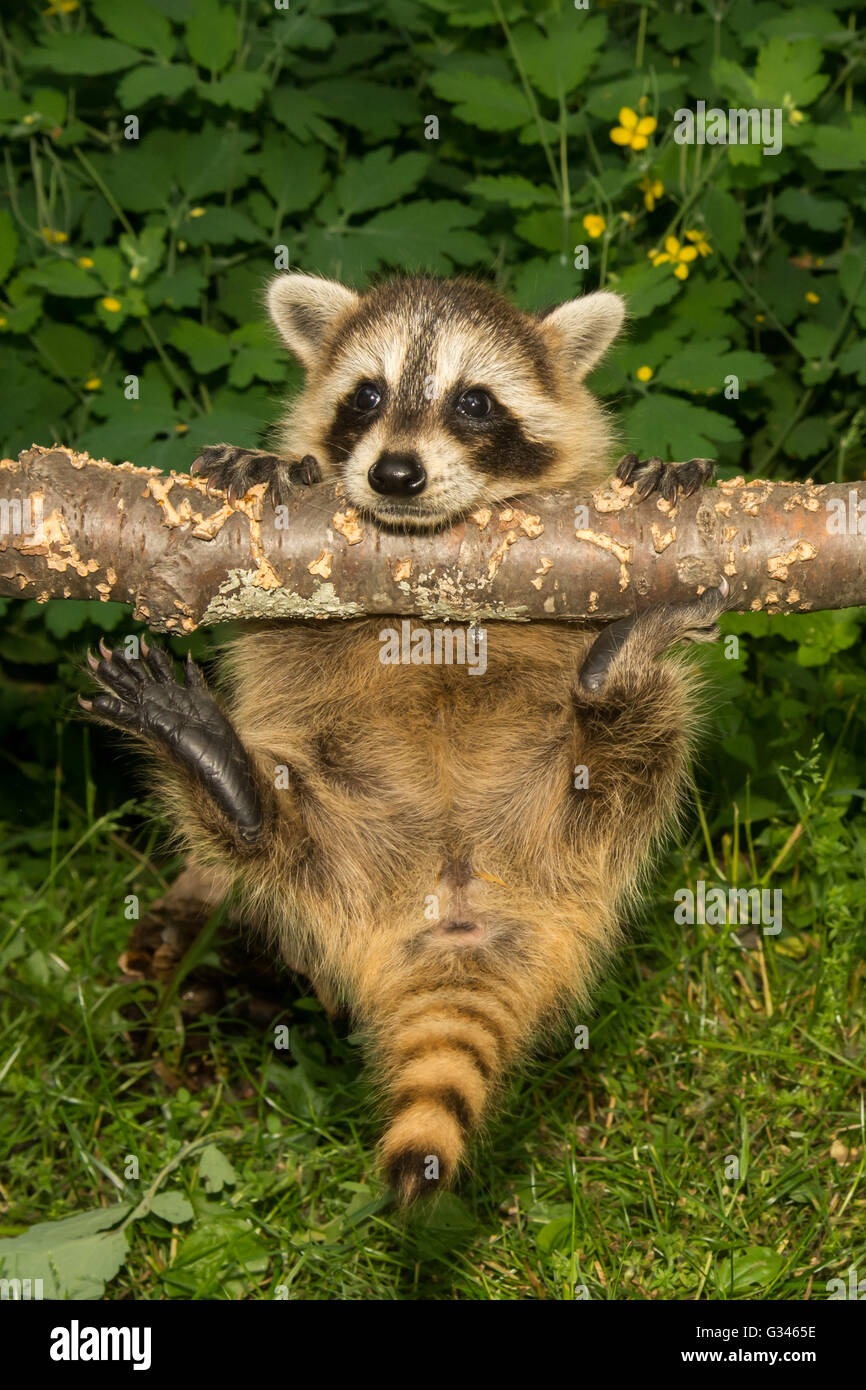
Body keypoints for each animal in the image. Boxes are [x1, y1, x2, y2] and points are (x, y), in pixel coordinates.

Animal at [83, 273, 722, 1206]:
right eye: (367, 395)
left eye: (474, 401)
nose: (395, 473)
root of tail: (456, 905)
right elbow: (277, 625)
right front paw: (275, 464)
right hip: (336, 840)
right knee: (269, 841)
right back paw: (226, 781)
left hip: (584, 830)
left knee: (649, 739)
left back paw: (620, 677)